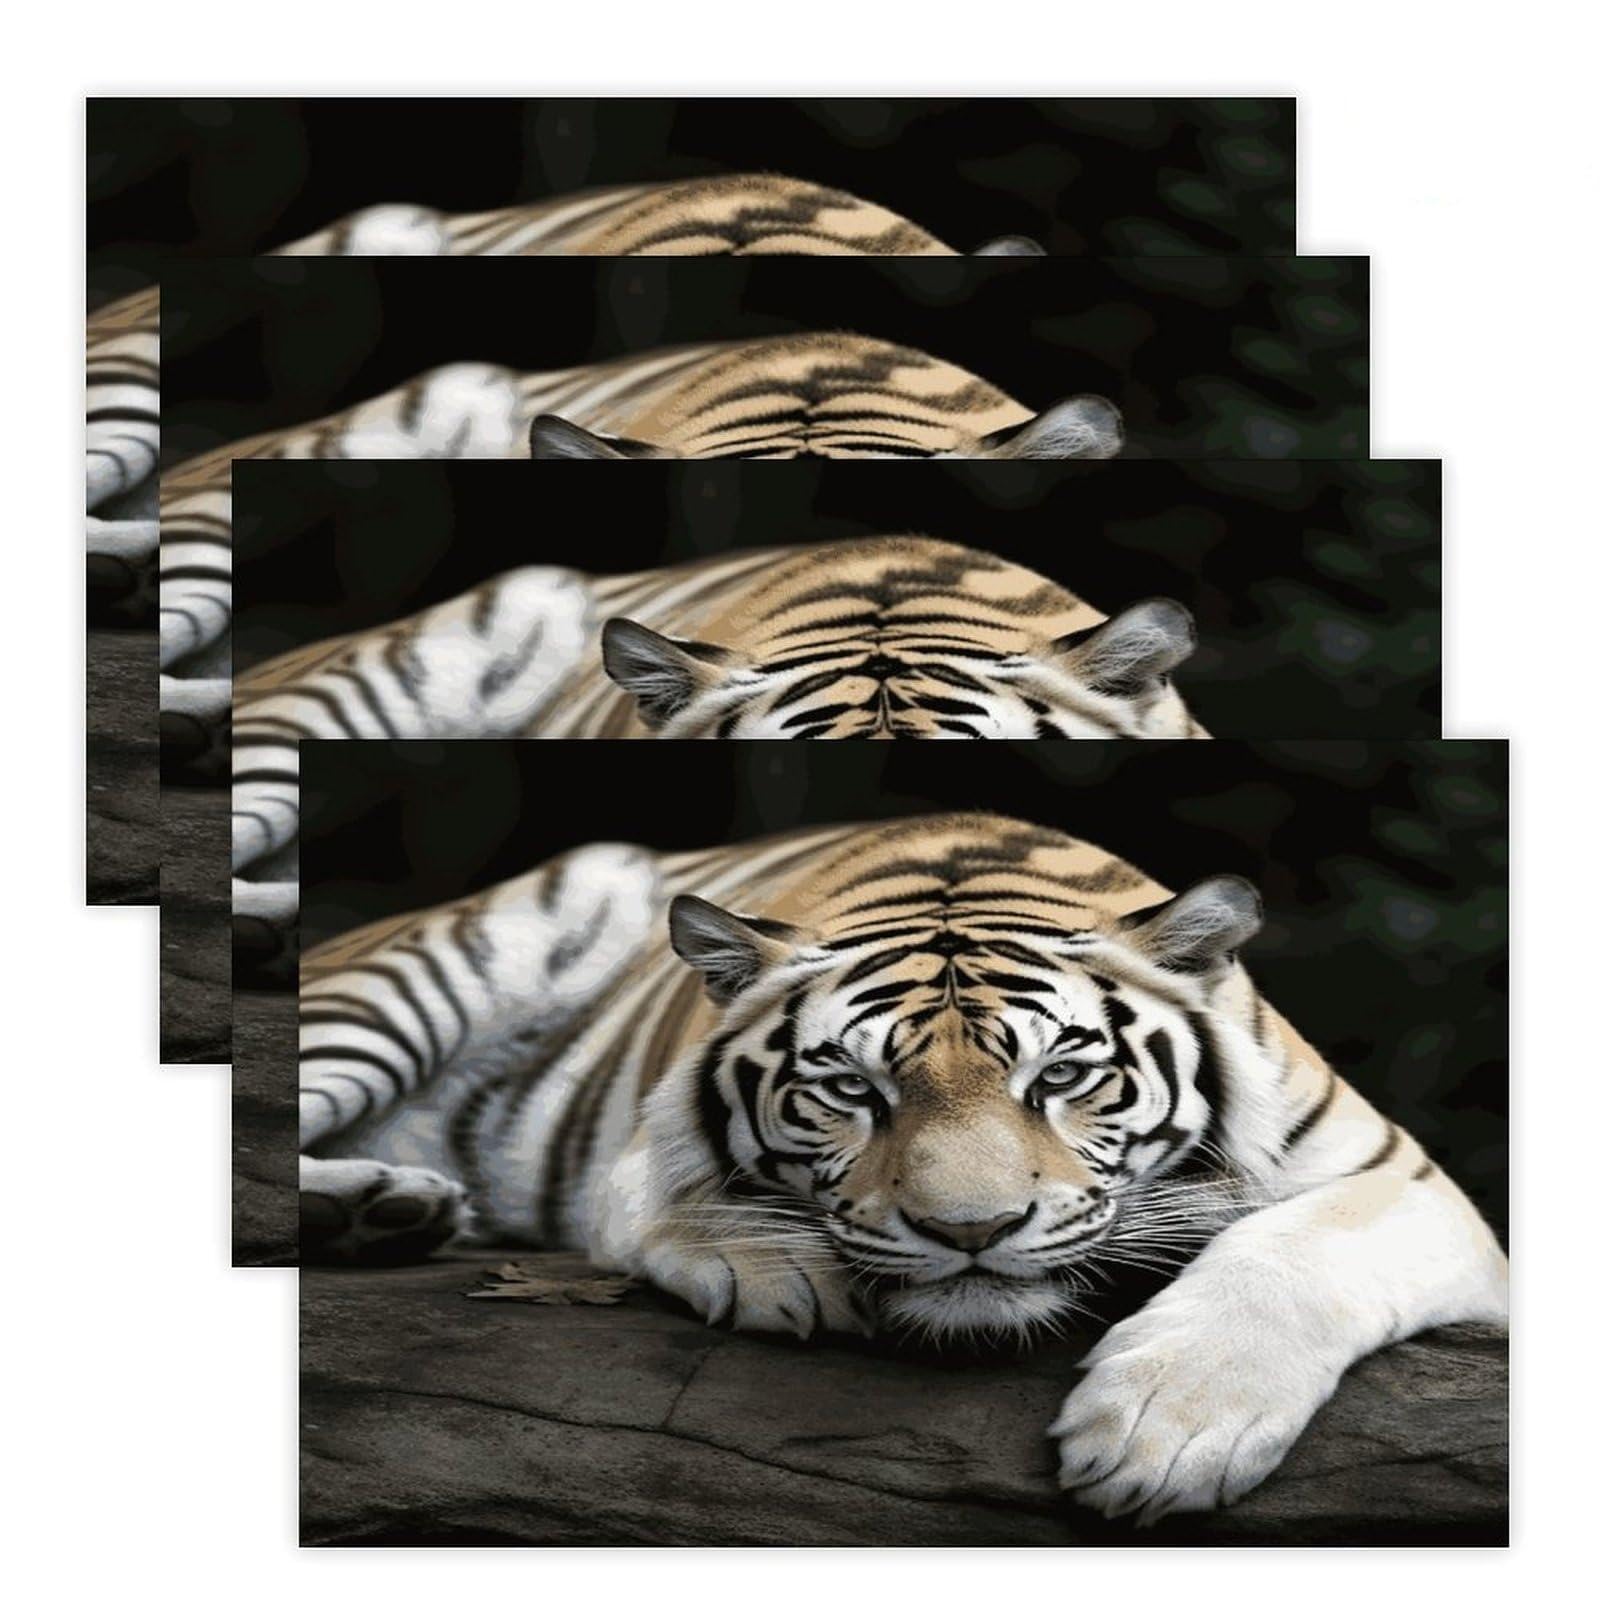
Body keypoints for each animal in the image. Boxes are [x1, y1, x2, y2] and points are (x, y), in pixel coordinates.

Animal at [298, 812, 1508, 1524]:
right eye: (851, 1087)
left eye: (1062, 1074)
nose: (969, 1232)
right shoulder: (641, 1143)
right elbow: (676, 1198)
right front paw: (779, 1269)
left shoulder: (1406, 1181)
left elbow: (1295, 1251)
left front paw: (1168, 1430)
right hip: (419, 973)